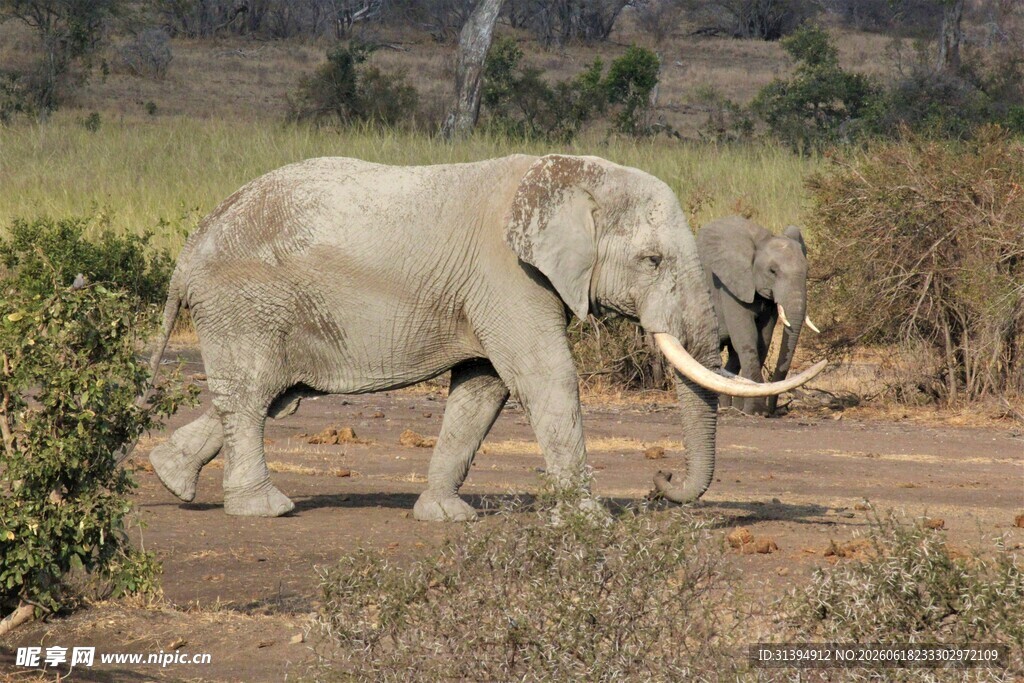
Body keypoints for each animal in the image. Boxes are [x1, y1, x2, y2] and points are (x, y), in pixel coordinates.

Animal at [696, 215, 820, 416]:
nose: (773, 409)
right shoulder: (730, 287)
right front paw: (756, 412)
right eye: (772, 271)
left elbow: (763, 341)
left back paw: (729, 406)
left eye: (807, 271)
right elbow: (747, 339)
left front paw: (749, 410)